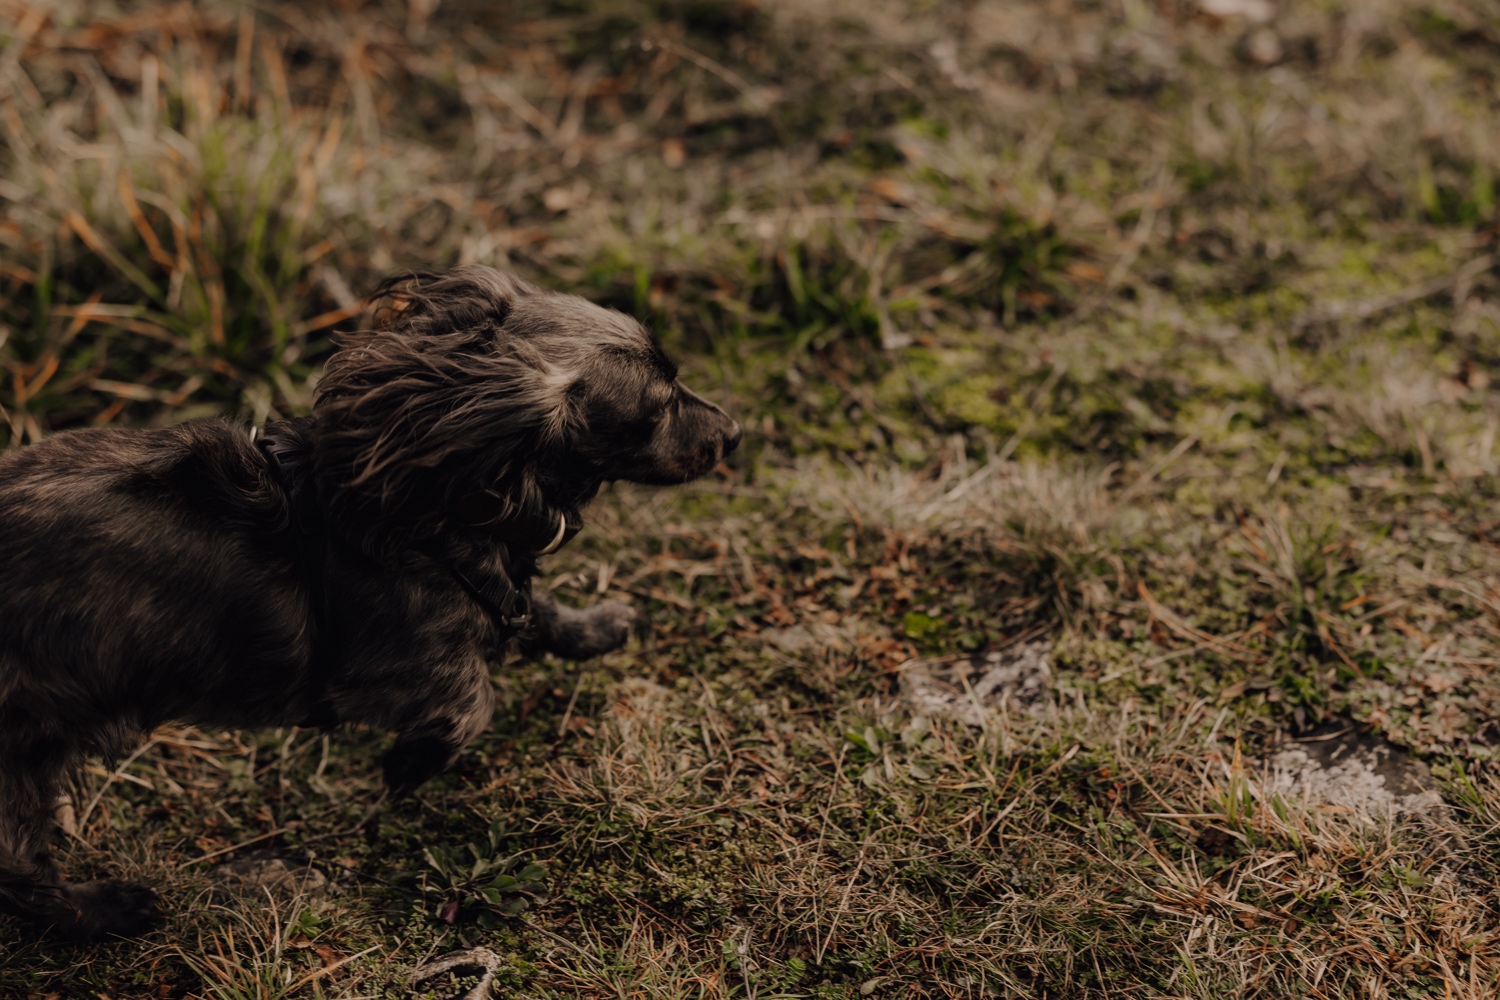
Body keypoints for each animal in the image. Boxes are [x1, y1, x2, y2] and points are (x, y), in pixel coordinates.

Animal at [0, 268, 741, 941]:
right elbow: (471, 702)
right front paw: (409, 766)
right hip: (24, 756)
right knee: (21, 871)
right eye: (657, 410)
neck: (442, 499)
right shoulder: (378, 674)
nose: (733, 432)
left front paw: (597, 628)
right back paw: (104, 911)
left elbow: (538, 615)